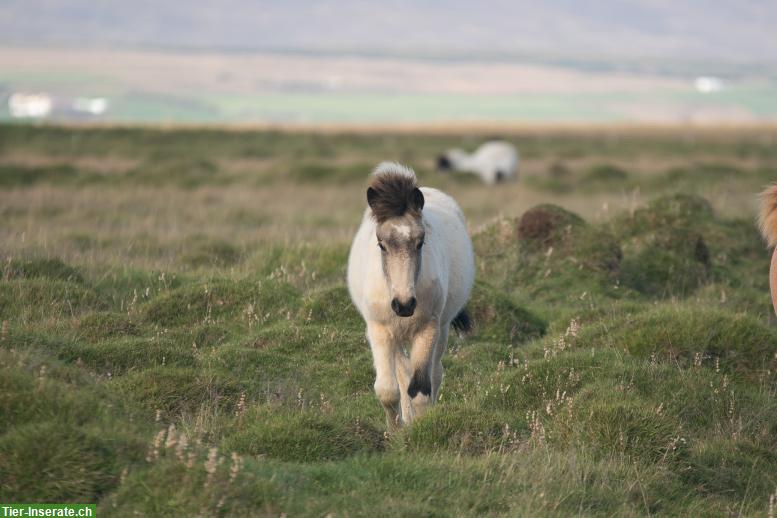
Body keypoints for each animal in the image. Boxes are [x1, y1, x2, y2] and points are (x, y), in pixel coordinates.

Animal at [348, 164, 476, 430]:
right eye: (381, 243)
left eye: (420, 242)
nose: (404, 305)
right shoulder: (379, 330)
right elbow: (388, 389)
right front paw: (397, 432)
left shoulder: (428, 329)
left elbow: (420, 390)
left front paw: (423, 430)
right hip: (395, 335)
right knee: (402, 372)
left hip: (442, 328)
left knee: (435, 372)